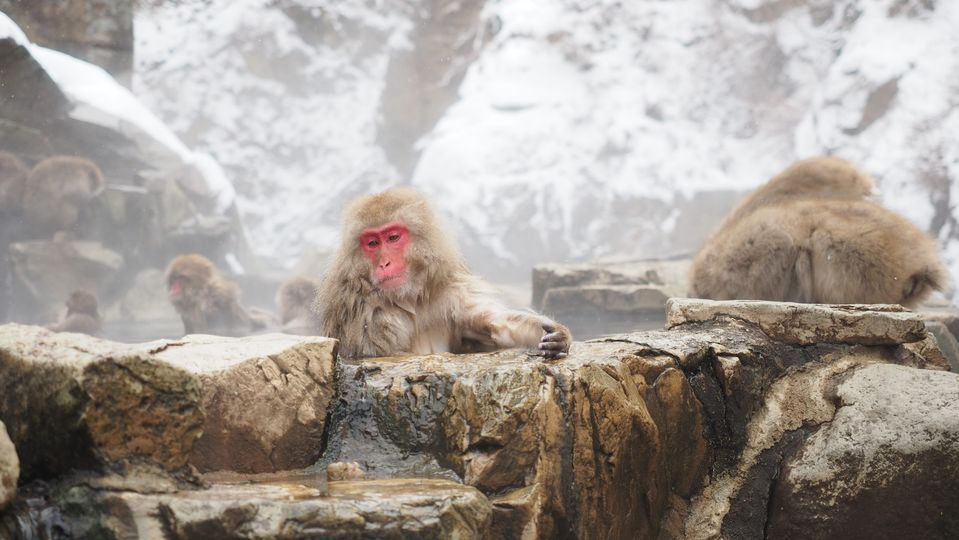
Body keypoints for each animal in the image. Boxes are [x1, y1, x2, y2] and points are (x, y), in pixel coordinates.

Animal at [316, 188, 572, 360]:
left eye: (392, 237)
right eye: (372, 243)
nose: (384, 264)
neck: (409, 300)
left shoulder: (450, 294)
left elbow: (495, 323)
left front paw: (557, 336)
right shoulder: (365, 315)